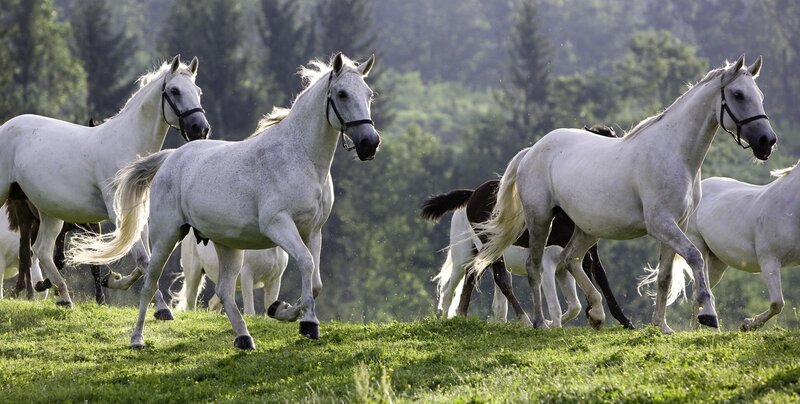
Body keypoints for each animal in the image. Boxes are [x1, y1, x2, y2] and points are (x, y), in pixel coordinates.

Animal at [0, 55, 209, 308]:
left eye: (198, 91)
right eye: (175, 90)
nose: (200, 128)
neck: (126, 146)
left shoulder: (137, 216)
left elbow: (146, 261)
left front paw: (113, 280)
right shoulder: (119, 214)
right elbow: (142, 259)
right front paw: (161, 309)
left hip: (49, 211)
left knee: (41, 250)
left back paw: (64, 297)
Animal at [67, 53, 380, 350]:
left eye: (369, 94)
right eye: (342, 94)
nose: (370, 143)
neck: (300, 158)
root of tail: (171, 157)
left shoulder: (313, 231)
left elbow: (315, 281)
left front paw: (295, 316)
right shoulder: (279, 225)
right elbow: (304, 263)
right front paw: (297, 319)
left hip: (228, 246)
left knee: (224, 292)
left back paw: (244, 338)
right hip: (167, 236)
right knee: (150, 282)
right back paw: (138, 339)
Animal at [422, 125, 634, 329]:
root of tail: (472, 194)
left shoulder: (575, 259)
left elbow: (590, 285)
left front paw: (618, 319)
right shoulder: (550, 264)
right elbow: (558, 302)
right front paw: (556, 324)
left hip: (485, 254)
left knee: (477, 281)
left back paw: (469, 317)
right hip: (467, 253)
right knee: (469, 284)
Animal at [471, 54, 776, 334]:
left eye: (761, 95)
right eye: (738, 95)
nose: (767, 142)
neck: (674, 153)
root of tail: (530, 151)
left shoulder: (677, 224)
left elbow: (665, 277)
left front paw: (662, 326)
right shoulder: (661, 224)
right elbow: (694, 258)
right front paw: (709, 315)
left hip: (587, 228)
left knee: (569, 260)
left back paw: (596, 313)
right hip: (540, 218)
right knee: (535, 267)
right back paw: (539, 323)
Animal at [640, 162, 800, 331]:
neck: (788, 209)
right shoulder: (769, 260)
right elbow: (777, 303)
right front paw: (747, 325)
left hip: (718, 263)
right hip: (699, 247)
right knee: (699, 290)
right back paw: (699, 330)